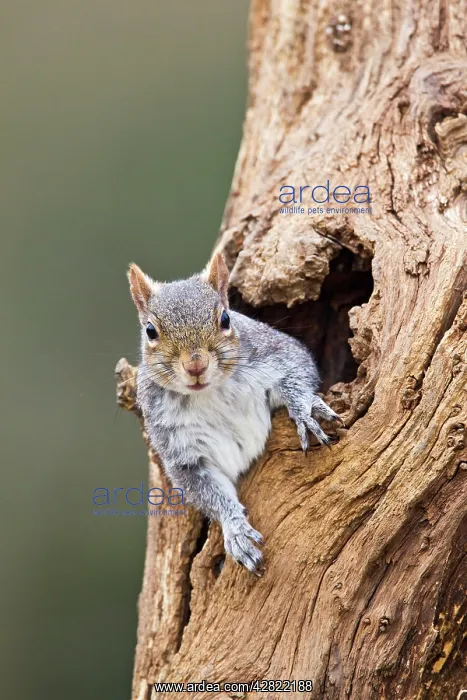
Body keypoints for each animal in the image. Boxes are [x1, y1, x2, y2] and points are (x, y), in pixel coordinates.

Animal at [128, 252, 343, 575]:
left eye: (225, 319)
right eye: (150, 331)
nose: (195, 365)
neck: (207, 393)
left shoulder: (277, 353)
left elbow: (298, 370)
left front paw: (303, 408)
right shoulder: (180, 450)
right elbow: (209, 492)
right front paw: (237, 531)